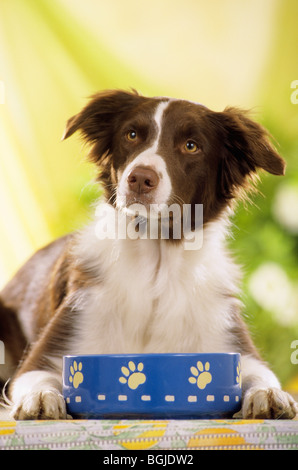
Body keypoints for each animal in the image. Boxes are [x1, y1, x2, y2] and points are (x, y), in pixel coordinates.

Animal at [0, 91, 296, 418]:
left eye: (191, 145)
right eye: (131, 135)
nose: (140, 178)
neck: (157, 266)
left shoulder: (231, 341)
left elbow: (260, 375)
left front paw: (270, 395)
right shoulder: (48, 352)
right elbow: (38, 379)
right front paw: (40, 398)